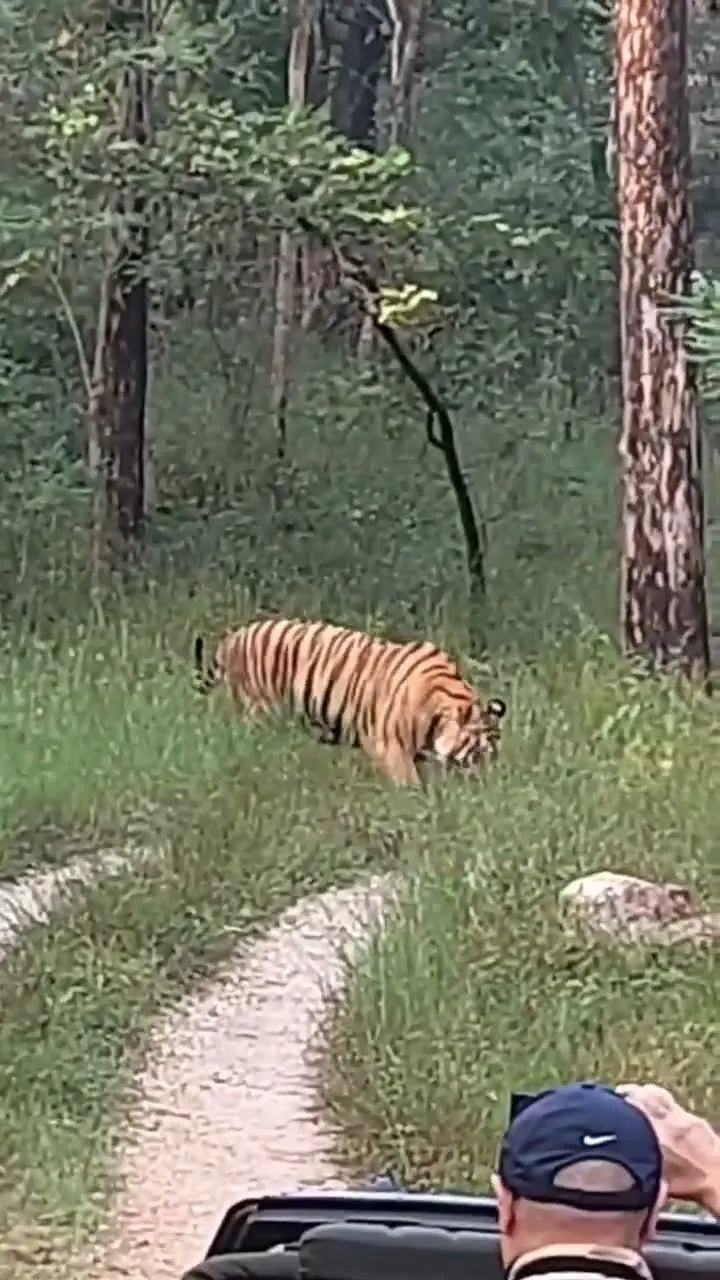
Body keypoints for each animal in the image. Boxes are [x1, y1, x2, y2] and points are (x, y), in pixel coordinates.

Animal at [193, 617, 506, 786]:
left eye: (494, 755)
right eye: (478, 754)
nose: (488, 785)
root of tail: (234, 636)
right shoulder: (391, 748)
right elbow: (410, 786)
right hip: (259, 711)